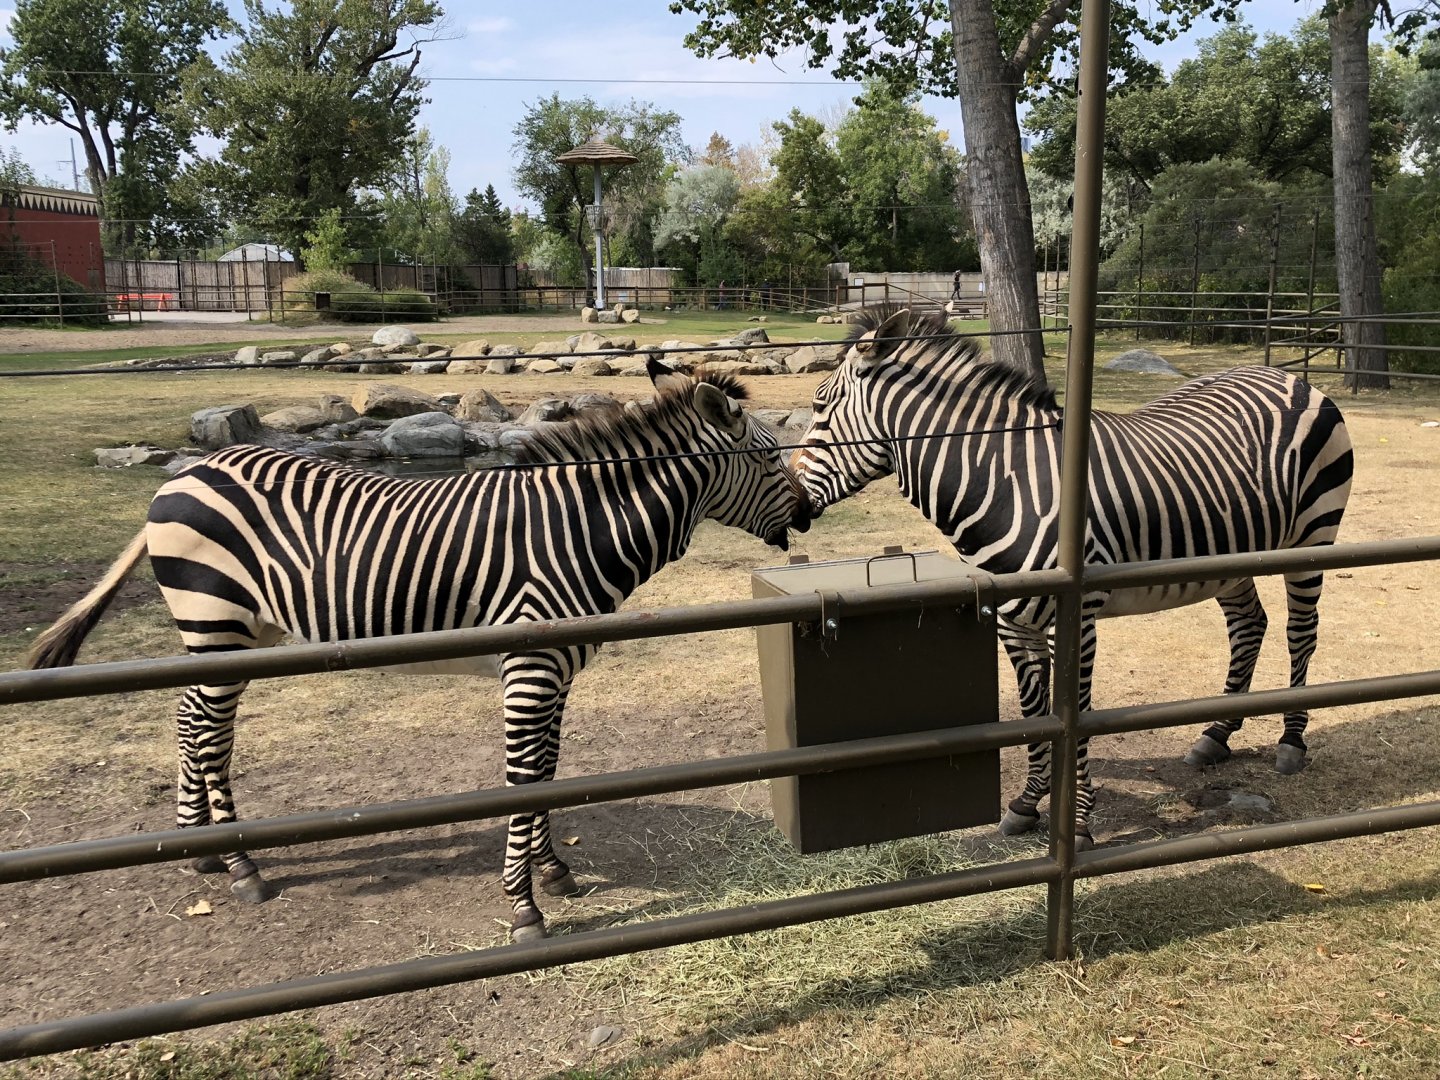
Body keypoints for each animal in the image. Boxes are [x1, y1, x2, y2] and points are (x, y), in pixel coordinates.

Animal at [28, 360, 811, 941]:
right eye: (768, 455)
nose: (809, 512)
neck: (577, 528)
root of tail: (187, 472)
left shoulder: (555, 670)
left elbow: (549, 770)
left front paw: (554, 872)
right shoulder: (530, 669)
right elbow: (524, 777)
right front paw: (524, 908)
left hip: (244, 632)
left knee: (193, 721)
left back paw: (204, 852)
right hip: (215, 621)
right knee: (205, 728)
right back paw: (239, 862)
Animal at [790, 306, 1354, 848]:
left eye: (818, 406)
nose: (792, 506)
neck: (1006, 481)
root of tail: (1288, 376)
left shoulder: (1075, 617)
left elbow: (1075, 715)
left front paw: (1078, 823)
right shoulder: (1013, 619)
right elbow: (1035, 712)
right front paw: (1026, 803)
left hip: (1313, 533)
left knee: (1300, 632)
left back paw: (1291, 741)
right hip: (1231, 557)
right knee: (1248, 625)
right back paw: (1215, 735)